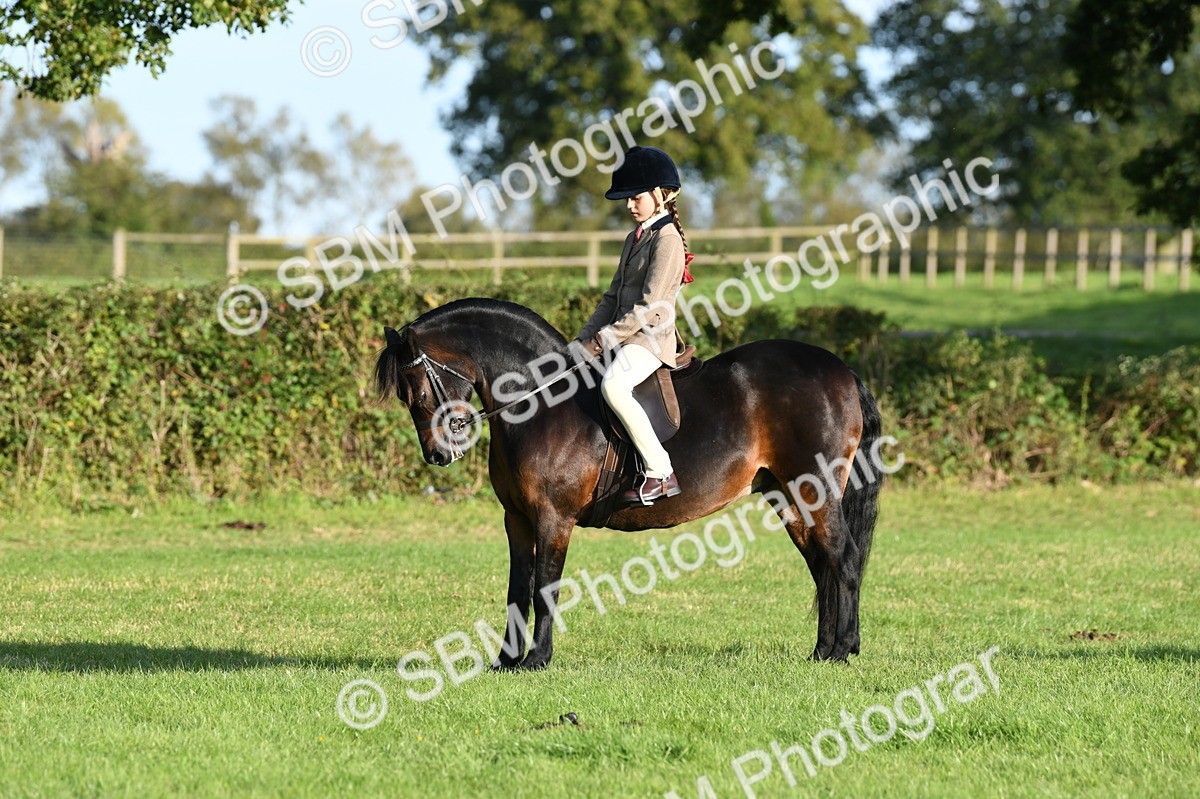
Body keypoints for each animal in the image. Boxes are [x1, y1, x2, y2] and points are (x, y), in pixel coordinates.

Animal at [375, 297, 883, 669]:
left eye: (417, 388)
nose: (438, 455)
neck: (540, 403)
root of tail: (842, 371)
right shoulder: (516, 519)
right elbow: (517, 590)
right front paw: (505, 661)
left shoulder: (553, 517)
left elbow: (544, 587)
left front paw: (537, 660)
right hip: (790, 497)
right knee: (821, 565)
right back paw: (821, 651)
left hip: (817, 489)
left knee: (843, 558)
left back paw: (842, 651)